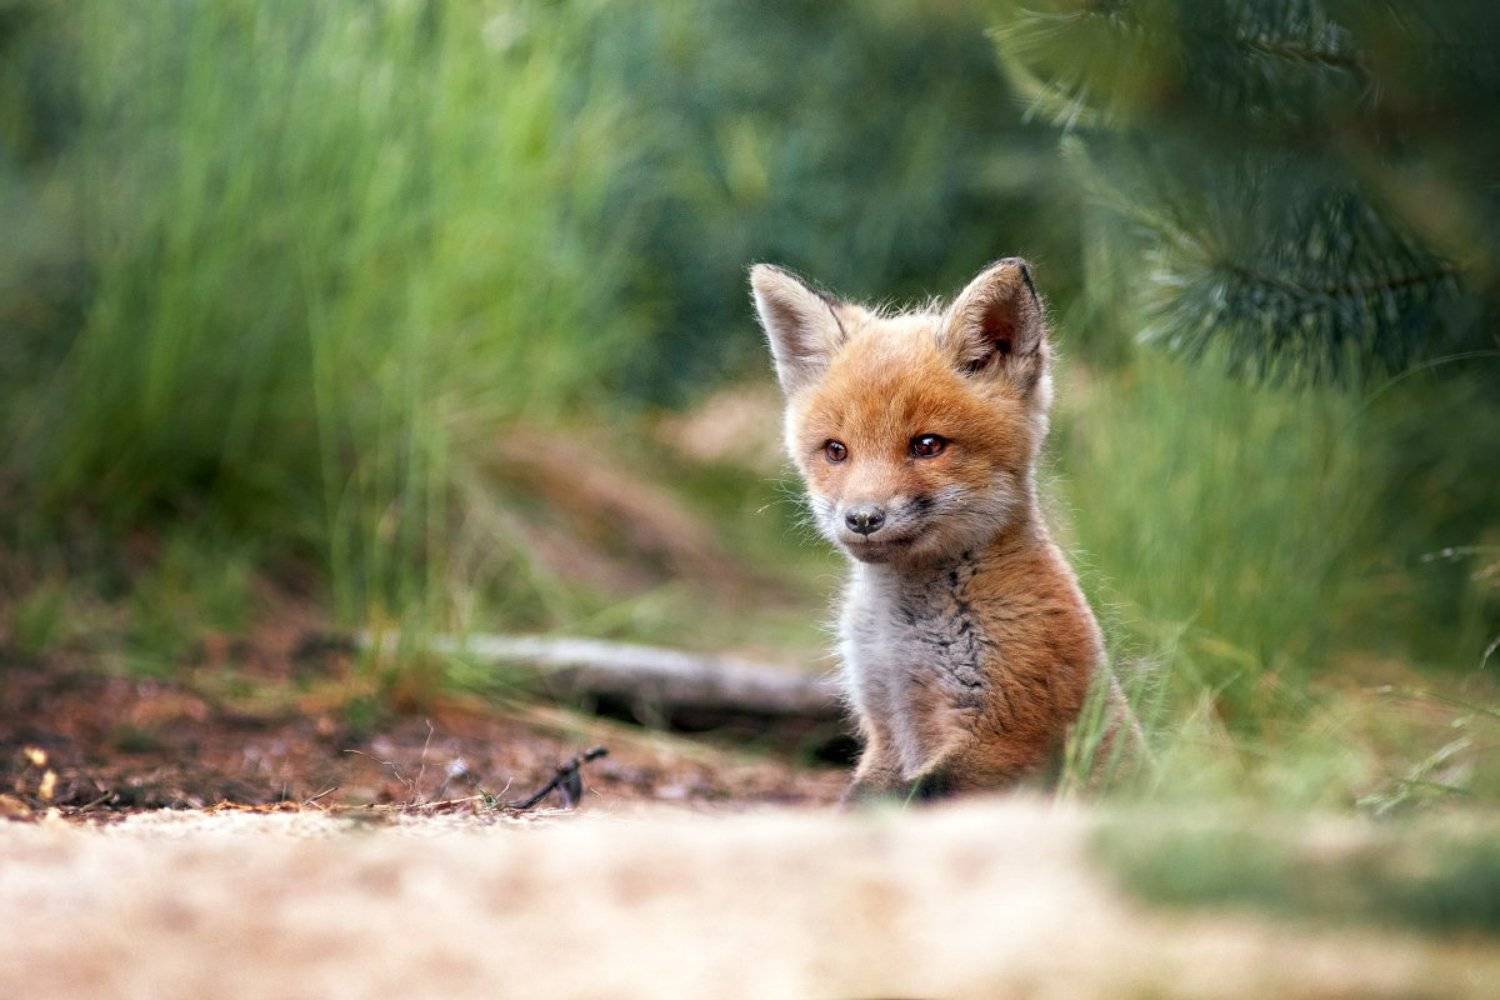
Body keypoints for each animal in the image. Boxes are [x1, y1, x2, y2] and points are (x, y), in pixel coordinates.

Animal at [751, 258, 1113, 801]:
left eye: (927, 445)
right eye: (836, 450)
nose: (862, 519)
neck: (902, 643)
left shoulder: (1005, 739)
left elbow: (910, 801)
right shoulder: (883, 727)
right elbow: (860, 800)